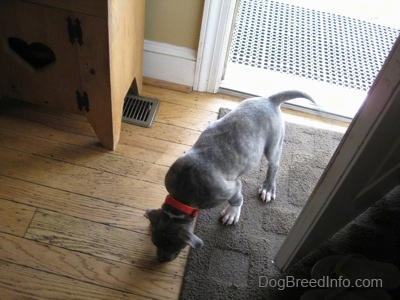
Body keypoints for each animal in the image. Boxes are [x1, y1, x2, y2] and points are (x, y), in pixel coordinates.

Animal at [145, 90, 314, 262]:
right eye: (154, 242)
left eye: (177, 246)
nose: (161, 260)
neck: (182, 199)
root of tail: (270, 100)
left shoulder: (230, 189)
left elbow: (236, 200)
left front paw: (231, 214)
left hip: (273, 145)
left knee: (274, 165)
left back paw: (268, 188)